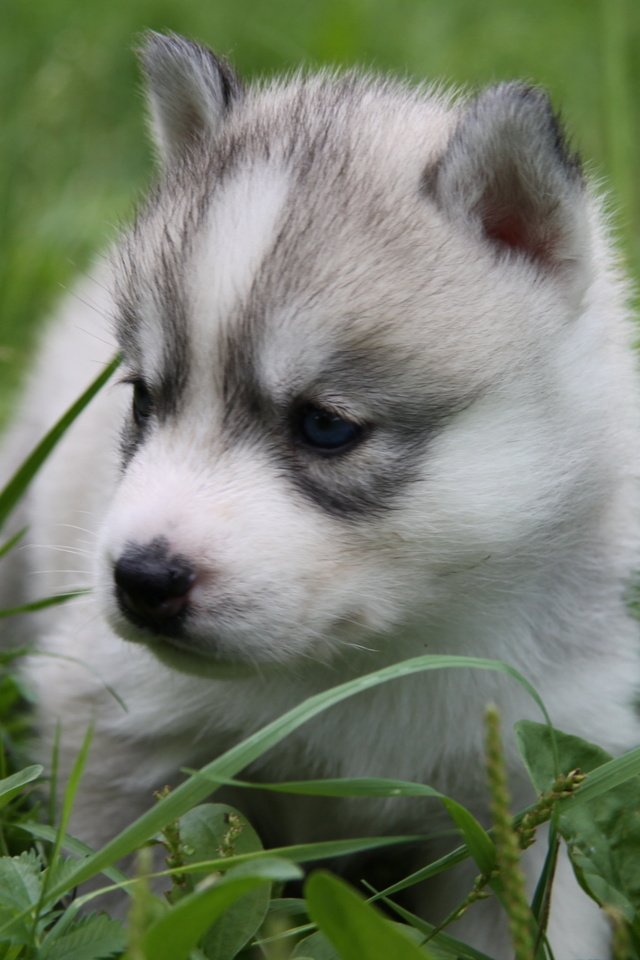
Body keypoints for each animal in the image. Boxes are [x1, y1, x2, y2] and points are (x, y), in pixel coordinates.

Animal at [1, 33, 640, 956]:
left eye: (326, 427)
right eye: (144, 398)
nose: (142, 579)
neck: (374, 657)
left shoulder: (536, 793)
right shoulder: (114, 729)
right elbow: (117, 896)